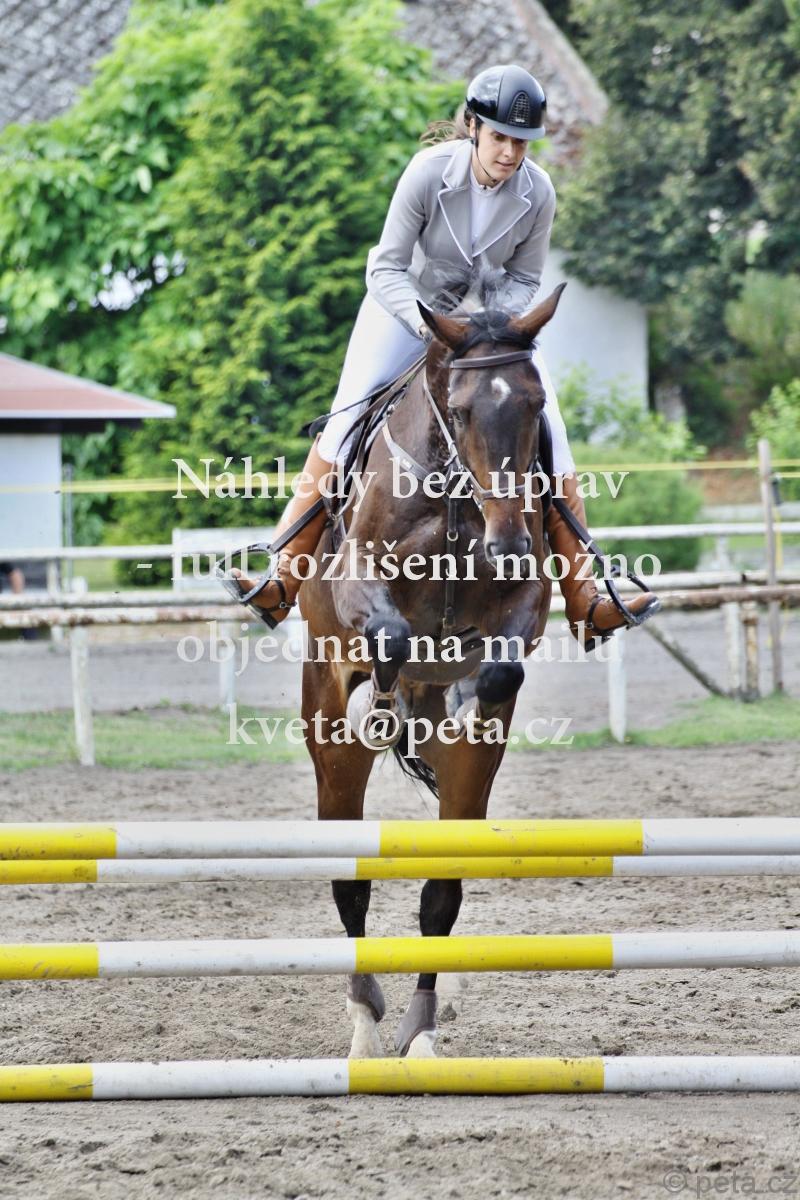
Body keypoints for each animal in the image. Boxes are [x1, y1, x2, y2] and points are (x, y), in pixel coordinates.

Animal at [299, 283, 566, 1058]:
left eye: (536, 405)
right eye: (462, 411)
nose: (506, 543)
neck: (453, 497)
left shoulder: (526, 597)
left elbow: (501, 672)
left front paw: (469, 696)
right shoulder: (359, 583)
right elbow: (387, 634)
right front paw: (381, 706)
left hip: (463, 786)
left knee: (440, 892)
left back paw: (419, 1029)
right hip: (330, 746)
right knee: (350, 882)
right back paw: (365, 1022)